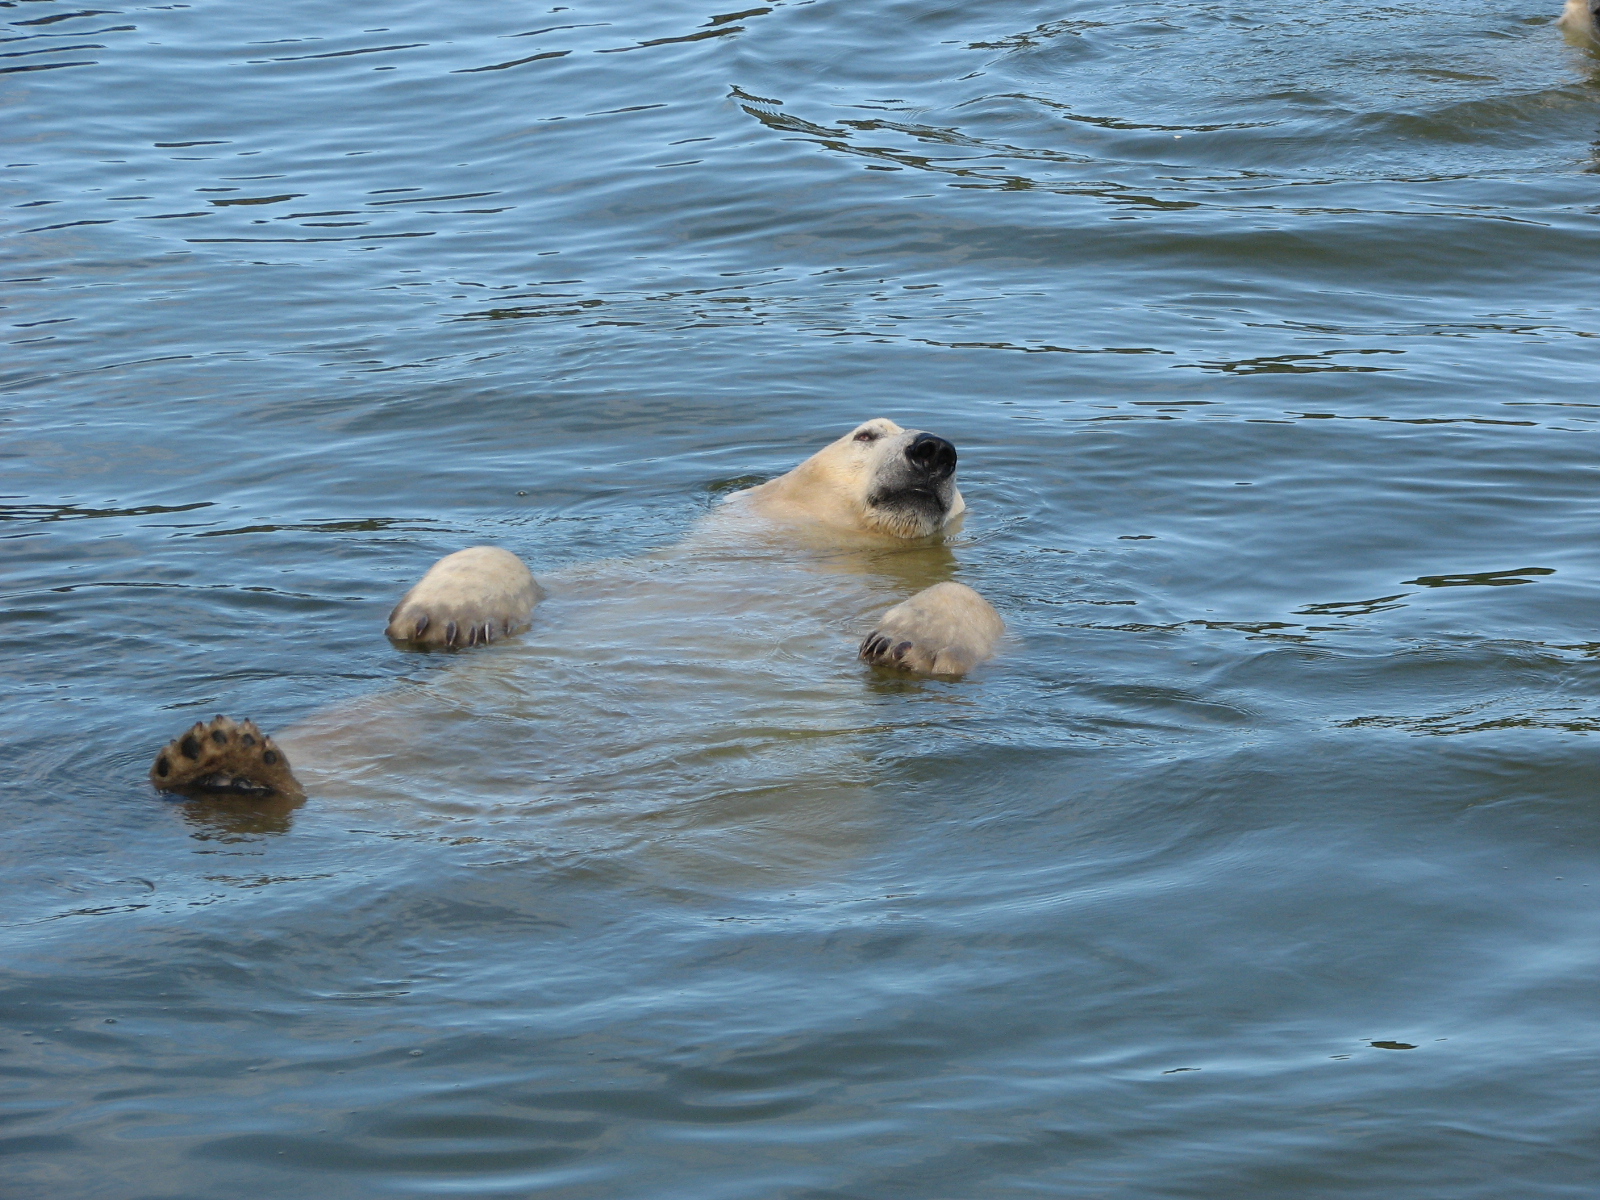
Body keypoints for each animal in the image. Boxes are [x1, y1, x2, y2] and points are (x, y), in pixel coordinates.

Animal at [150, 419, 998, 809]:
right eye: (867, 433)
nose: (933, 449)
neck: (811, 553)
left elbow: (976, 608)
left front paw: (909, 641)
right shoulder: (629, 574)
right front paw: (444, 615)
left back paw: (237, 765)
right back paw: (219, 756)